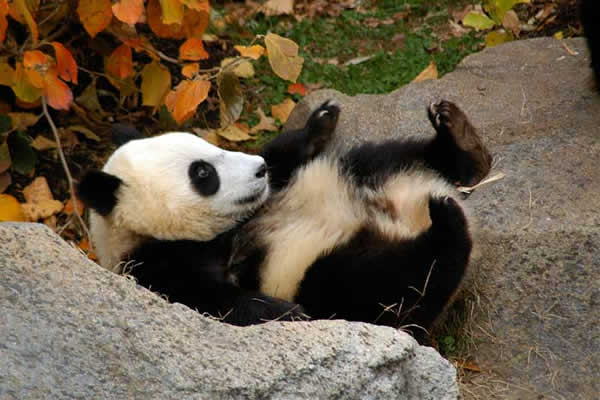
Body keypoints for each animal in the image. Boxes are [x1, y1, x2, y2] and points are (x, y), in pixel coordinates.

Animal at [78, 99, 492, 338]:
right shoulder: (154, 269)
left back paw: (461, 141)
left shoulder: (275, 185)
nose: (258, 171)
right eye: (202, 173)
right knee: (394, 285)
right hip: (329, 275)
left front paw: (320, 120)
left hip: (360, 169)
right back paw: (447, 224)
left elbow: (284, 153)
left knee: (398, 155)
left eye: (210, 147)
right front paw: (285, 313)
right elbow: (217, 304)